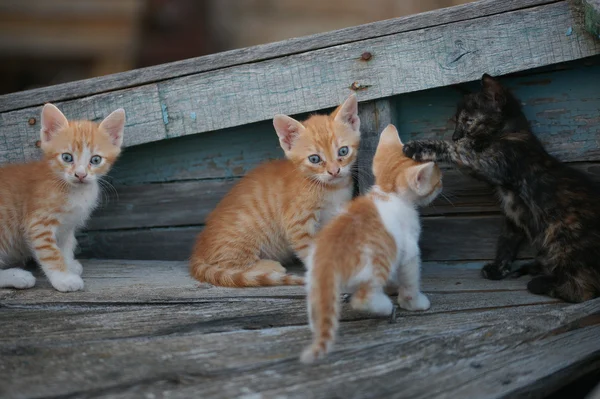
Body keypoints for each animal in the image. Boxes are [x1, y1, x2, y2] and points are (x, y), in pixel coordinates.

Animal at [0, 104, 125, 292]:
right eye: (67, 157)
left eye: (95, 160)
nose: (80, 174)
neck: (74, 191)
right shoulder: (38, 223)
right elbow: (51, 253)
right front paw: (64, 279)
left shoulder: (67, 225)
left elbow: (66, 245)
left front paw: (69, 264)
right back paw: (18, 276)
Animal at [191, 94, 360, 288]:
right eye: (315, 159)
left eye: (343, 151)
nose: (334, 171)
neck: (330, 188)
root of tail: (198, 251)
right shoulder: (298, 225)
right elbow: (310, 250)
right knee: (227, 265)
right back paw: (267, 266)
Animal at [302, 126, 442, 366]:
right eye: (438, 179)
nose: (442, 183)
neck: (388, 192)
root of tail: (327, 258)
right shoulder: (409, 249)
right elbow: (410, 277)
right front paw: (413, 301)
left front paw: (395, 287)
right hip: (375, 264)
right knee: (362, 299)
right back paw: (384, 306)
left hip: (313, 282)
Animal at [404, 73, 600, 304]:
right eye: (457, 121)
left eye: (468, 121)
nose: (455, 135)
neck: (512, 133)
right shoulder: (513, 213)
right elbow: (506, 241)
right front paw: (498, 269)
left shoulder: (489, 163)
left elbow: (456, 150)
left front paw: (421, 147)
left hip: (563, 234)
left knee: (584, 289)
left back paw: (542, 283)